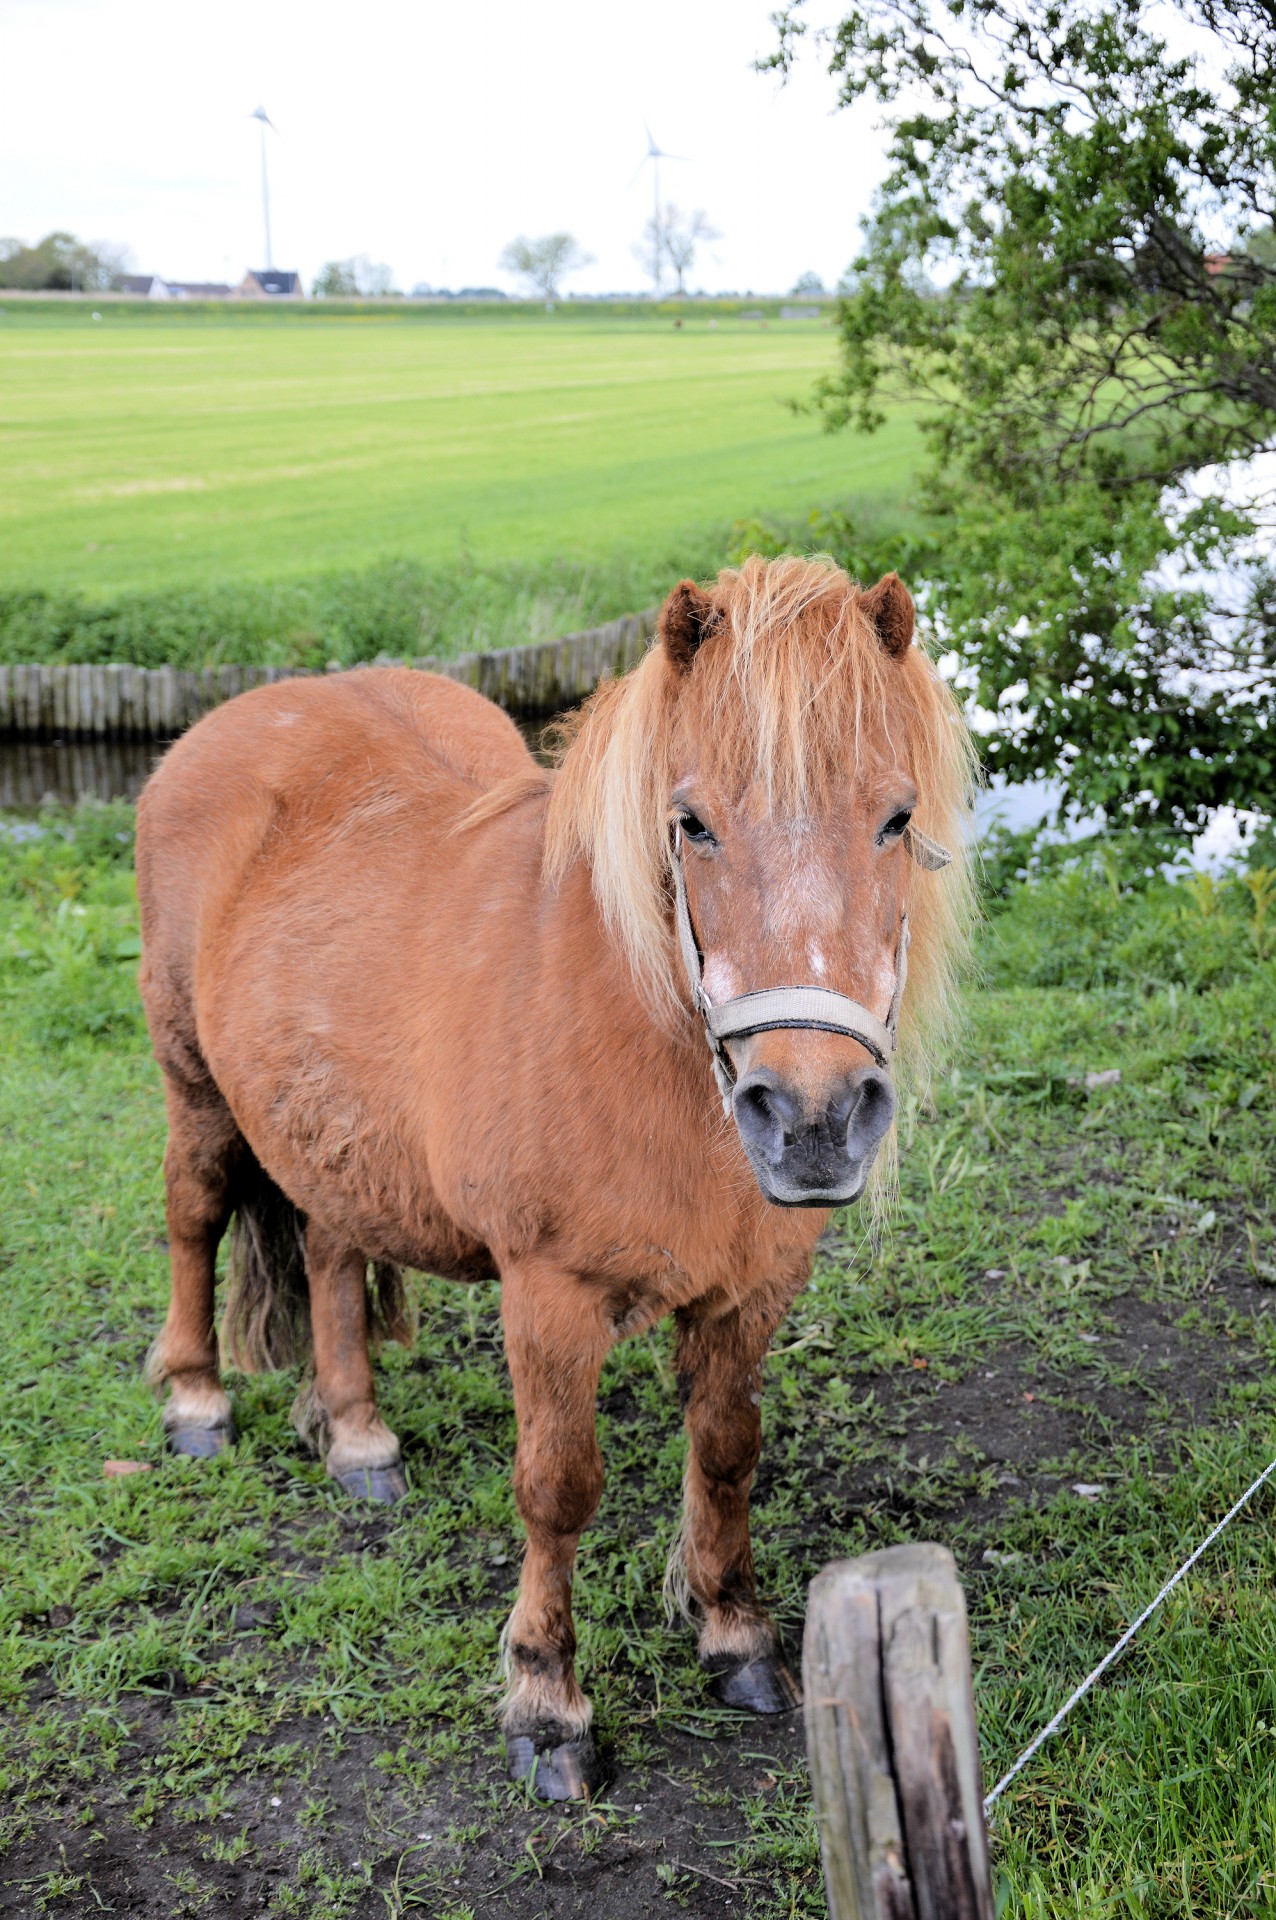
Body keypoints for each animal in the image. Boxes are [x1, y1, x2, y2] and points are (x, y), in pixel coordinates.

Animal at [137, 552, 974, 1797]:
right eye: (691, 824)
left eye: (896, 816)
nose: (814, 1120)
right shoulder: (549, 1298)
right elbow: (557, 1488)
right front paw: (547, 1704)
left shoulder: (750, 1292)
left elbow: (727, 1454)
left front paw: (733, 1636)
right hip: (194, 1089)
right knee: (193, 1212)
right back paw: (196, 1398)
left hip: (329, 1124)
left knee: (331, 1251)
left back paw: (356, 1433)